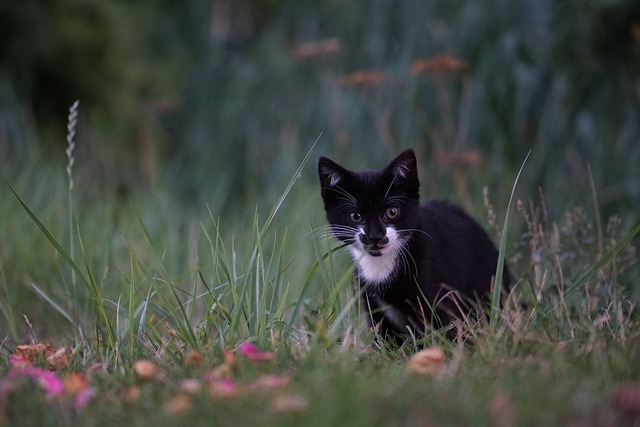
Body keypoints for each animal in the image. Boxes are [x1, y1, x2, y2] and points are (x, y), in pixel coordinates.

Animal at [318, 150, 510, 342]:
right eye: (355, 216)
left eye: (392, 212)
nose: (375, 236)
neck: (381, 266)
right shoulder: (372, 303)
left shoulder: (439, 297)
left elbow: (445, 333)